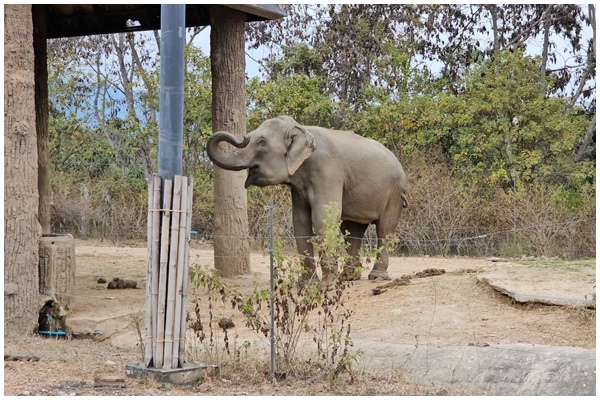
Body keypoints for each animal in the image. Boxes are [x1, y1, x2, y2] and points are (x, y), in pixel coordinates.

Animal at [206, 115, 408, 284]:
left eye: (261, 142)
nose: (244, 137)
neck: (302, 130)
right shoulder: (298, 186)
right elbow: (300, 222)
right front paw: (306, 284)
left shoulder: (328, 172)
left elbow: (322, 218)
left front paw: (327, 285)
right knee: (352, 231)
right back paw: (348, 278)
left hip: (394, 192)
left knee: (384, 229)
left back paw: (376, 277)